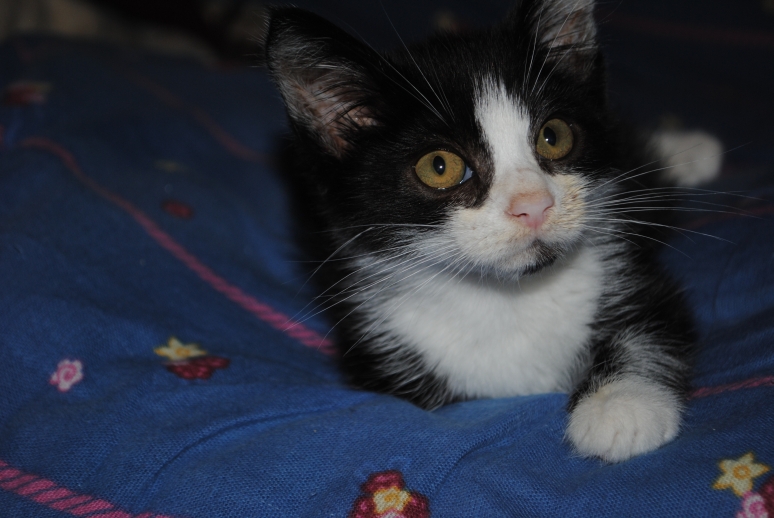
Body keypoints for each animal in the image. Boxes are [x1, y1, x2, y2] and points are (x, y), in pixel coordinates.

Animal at [263, 0, 718, 462]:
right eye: (439, 166)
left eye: (554, 135)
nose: (533, 205)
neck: (508, 297)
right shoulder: (375, 353)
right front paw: (621, 407)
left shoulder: (635, 275)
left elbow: (652, 330)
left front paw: (621, 404)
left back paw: (690, 150)